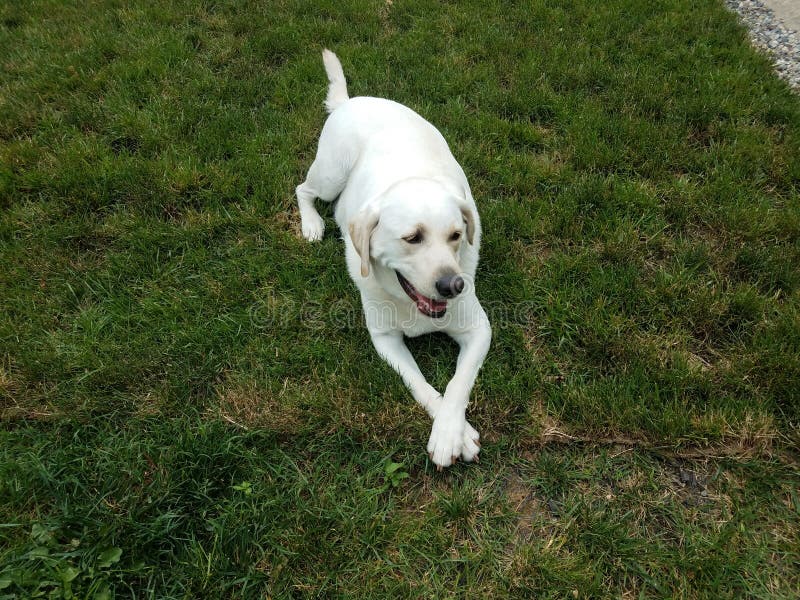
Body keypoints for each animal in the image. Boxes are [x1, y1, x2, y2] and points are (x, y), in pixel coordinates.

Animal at [296, 50, 490, 468]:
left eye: (456, 235)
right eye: (412, 238)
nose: (454, 285)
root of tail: (350, 101)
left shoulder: (480, 329)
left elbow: (457, 383)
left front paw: (451, 431)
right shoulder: (384, 340)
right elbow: (420, 384)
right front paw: (456, 435)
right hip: (330, 174)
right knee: (302, 189)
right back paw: (312, 223)